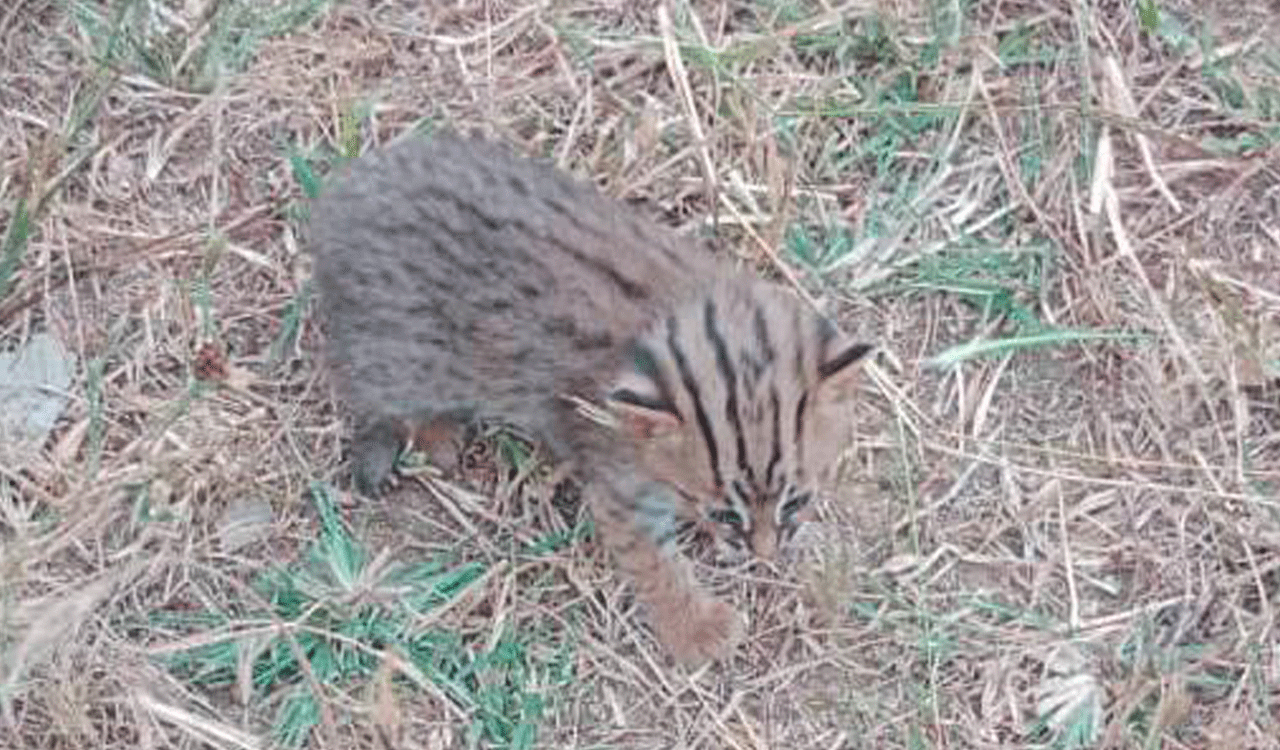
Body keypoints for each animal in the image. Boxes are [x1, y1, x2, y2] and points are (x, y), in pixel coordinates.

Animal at [309, 131, 870, 660]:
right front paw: (697, 630)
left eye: (796, 499)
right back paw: (434, 436)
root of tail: (339, 201)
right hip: (408, 353)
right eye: (726, 514)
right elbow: (653, 563)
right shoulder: (619, 487)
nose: (765, 556)